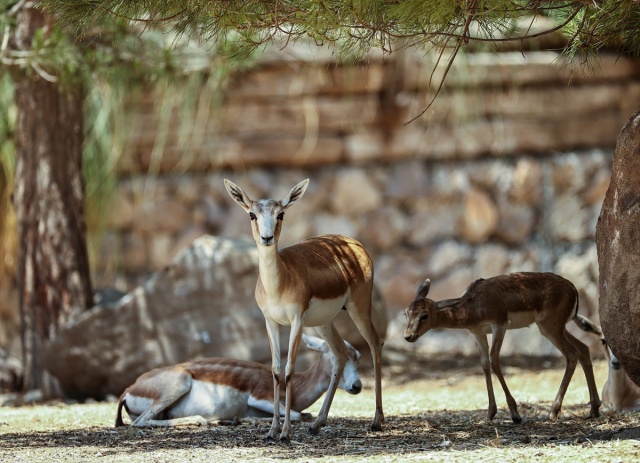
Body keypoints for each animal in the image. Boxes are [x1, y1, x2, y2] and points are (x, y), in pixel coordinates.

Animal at [225, 179, 384, 444]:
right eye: (252, 214)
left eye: (281, 214)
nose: (267, 238)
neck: (279, 283)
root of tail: (354, 244)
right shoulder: (270, 322)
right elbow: (275, 370)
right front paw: (271, 432)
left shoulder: (296, 321)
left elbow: (289, 370)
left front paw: (285, 433)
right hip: (323, 322)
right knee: (340, 353)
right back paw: (317, 424)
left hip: (358, 307)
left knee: (375, 343)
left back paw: (377, 421)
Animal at [404, 272, 600, 424]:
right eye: (407, 313)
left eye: (424, 315)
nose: (408, 336)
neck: (473, 306)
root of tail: (573, 289)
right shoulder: (478, 333)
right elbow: (484, 363)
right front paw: (490, 413)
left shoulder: (500, 324)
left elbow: (494, 360)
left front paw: (515, 414)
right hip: (557, 327)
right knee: (584, 349)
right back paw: (594, 409)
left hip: (549, 327)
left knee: (572, 354)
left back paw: (553, 412)